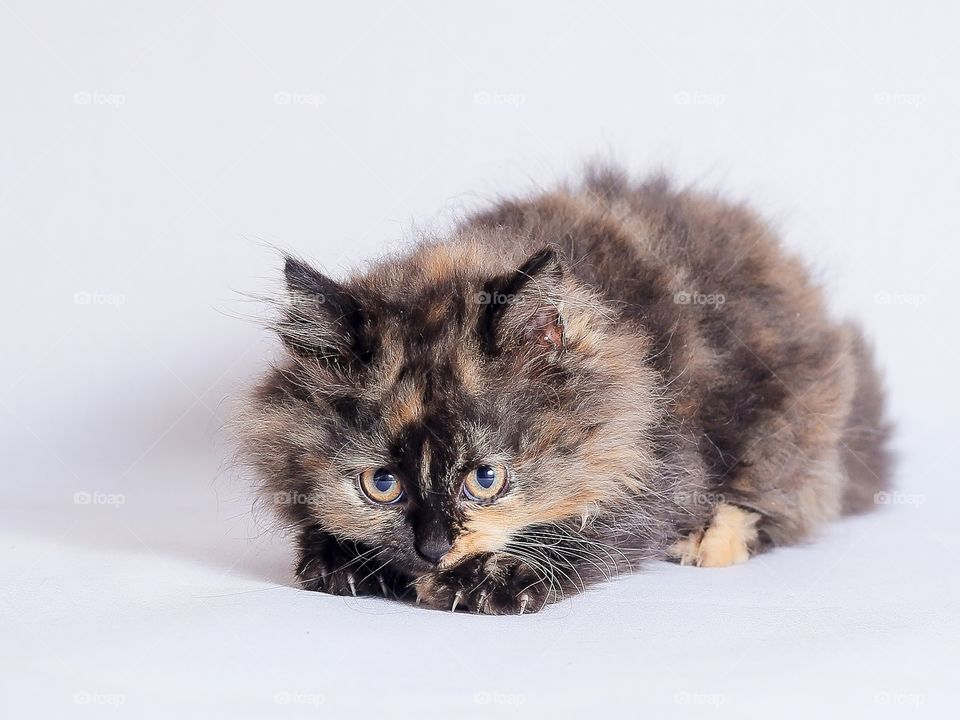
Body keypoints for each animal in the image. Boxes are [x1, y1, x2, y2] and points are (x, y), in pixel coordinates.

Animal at [238, 167, 892, 612]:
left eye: (486, 479)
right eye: (382, 485)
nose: (433, 548)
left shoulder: (663, 465)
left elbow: (591, 529)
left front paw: (487, 582)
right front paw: (338, 558)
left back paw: (713, 538)